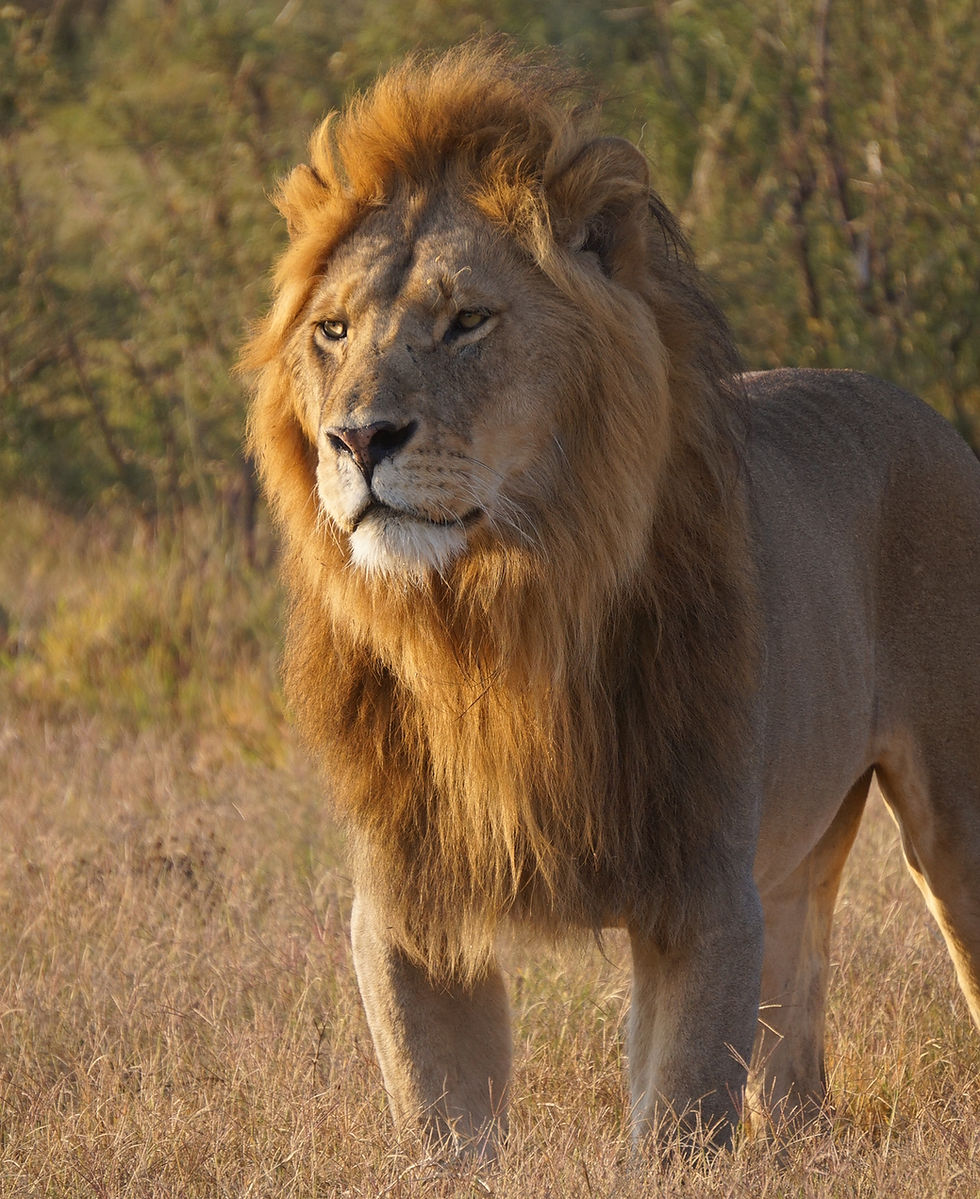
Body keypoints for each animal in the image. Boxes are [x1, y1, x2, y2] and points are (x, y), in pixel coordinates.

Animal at [241, 41, 980, 1156]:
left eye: (467, 321)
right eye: (331, 330)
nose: (358, 438)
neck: (498, 621)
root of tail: (931, 417)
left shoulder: (702, 892)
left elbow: (677, 1118)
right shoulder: (409, 906)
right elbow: (442, 1123)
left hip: (954, 820)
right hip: (795, 864)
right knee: (794, 1056)